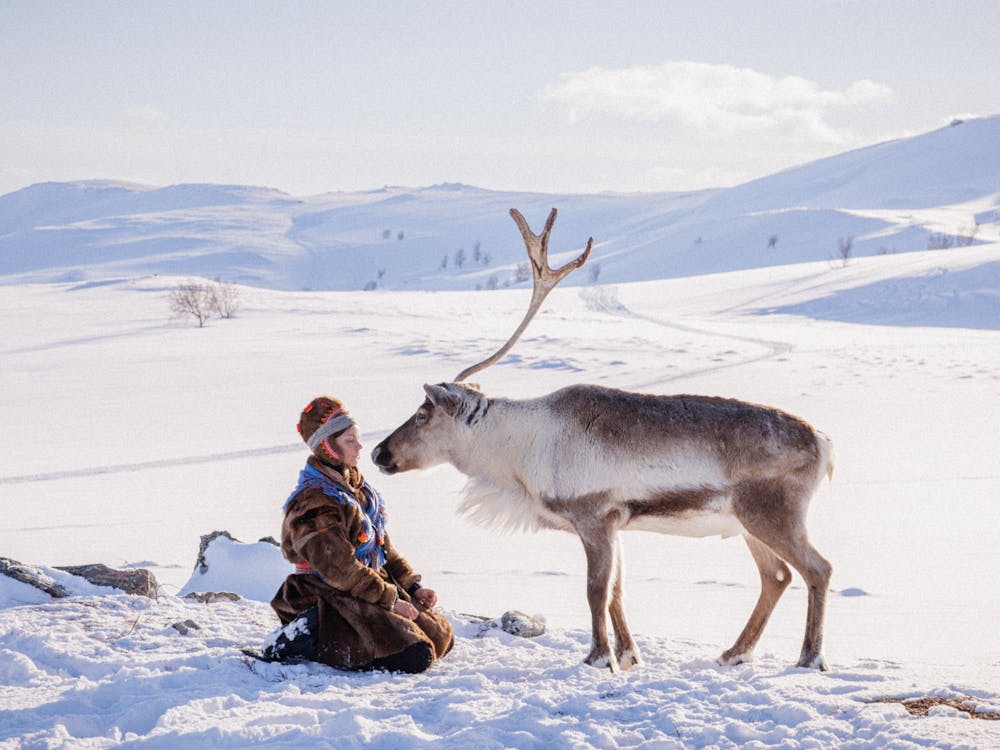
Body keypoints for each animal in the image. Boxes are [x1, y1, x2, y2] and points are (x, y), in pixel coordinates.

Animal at [371, 208, 834, 672]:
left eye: (422, 414)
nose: (379, 452)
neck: (519, 457)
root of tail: (825, 444)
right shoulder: (616, 523)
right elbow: (615, 592)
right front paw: (628, 655)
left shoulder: (594, 515)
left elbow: (596, 590)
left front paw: (598, 656)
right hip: (746, 522)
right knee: (777, 576)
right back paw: (734, 653)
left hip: (773, 513)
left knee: (818, 568)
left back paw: (810, 657)